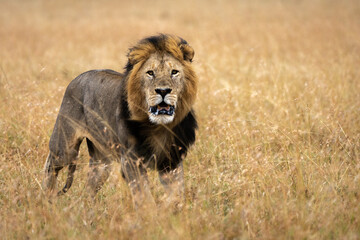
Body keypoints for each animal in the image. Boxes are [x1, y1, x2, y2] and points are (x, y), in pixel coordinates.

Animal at [44, 34, 200, 208]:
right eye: (150, 73)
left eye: (174, 72)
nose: (163, 91)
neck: (158, 126)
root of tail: (78, 77)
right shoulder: (131, 160)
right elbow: (144, 196)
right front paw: (151, 213)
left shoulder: (171, 160)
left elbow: (177, 195)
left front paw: (168, 208)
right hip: (65, 148)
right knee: (50, 165)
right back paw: (47, 198)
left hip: (102, 161)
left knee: (89, 186)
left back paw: (89, 209)